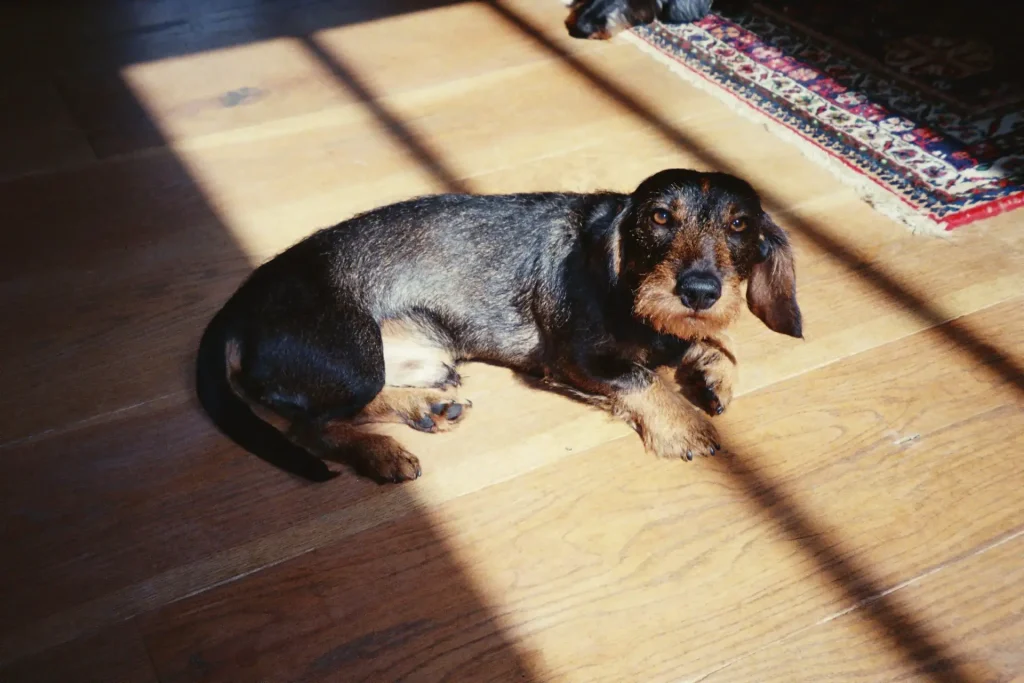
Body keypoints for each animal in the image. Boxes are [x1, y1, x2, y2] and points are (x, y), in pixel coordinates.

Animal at [197, 167, 798, 483]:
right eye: (659, 217)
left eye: (739, 226)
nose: (699, 291)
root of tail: (238, 304)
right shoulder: (577, 360)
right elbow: (643, 379)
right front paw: (684, 426)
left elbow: (716, 338)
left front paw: (712, 371)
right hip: (355, 359)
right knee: (309, 426)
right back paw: (381, 452)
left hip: (420, 354)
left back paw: (426, 406)